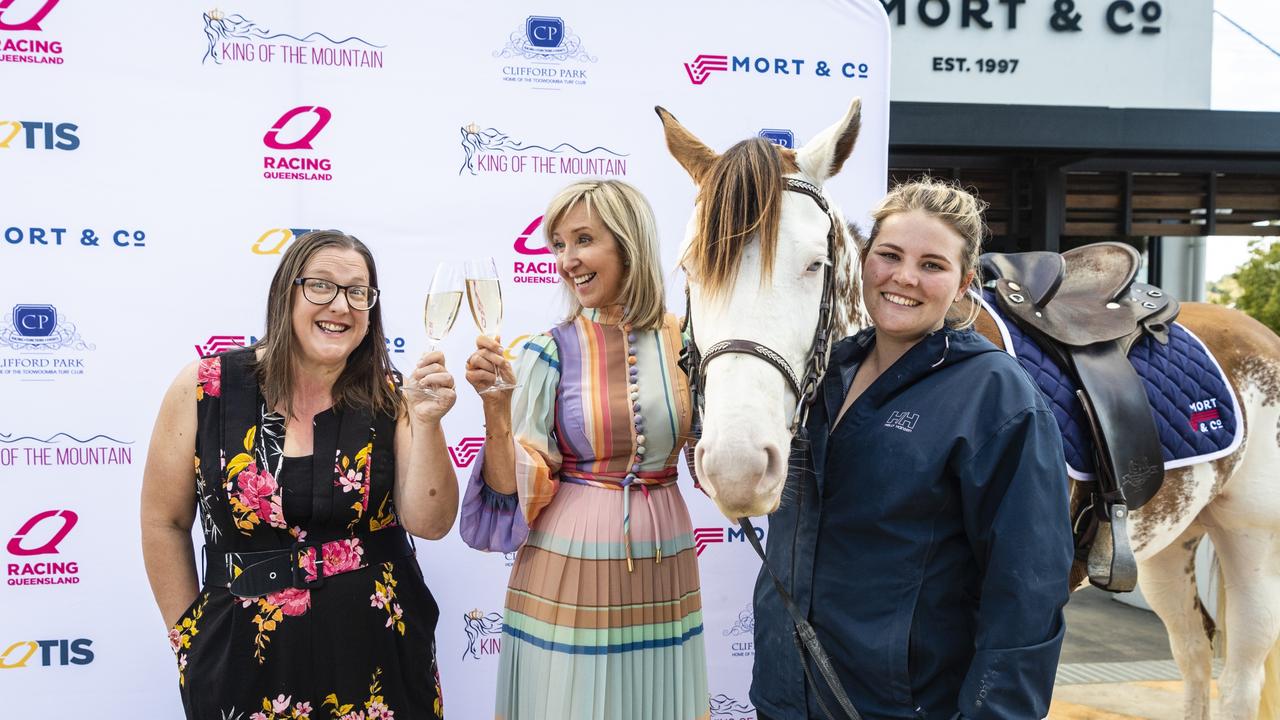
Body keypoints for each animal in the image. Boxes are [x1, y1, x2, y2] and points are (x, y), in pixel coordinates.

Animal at [660, 98, 1280, 712]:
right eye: (691, 268)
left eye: (816, 264)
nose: (737, 467)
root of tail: (1258, 332)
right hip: (1171, 546)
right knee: (1195, 658)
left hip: (1253, 545)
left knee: (1240, 677)